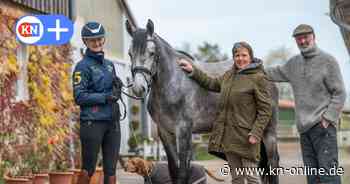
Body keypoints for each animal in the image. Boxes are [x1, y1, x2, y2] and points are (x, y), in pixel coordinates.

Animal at [125, 19, 278, 183]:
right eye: (130, 53)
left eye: (152, 53)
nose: (138, 88)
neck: (173, 83)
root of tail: (266, 75)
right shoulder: (165, 132)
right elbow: (173, 170)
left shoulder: (184, 130)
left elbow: (183, 172)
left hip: (268, 131)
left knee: (272, 162)